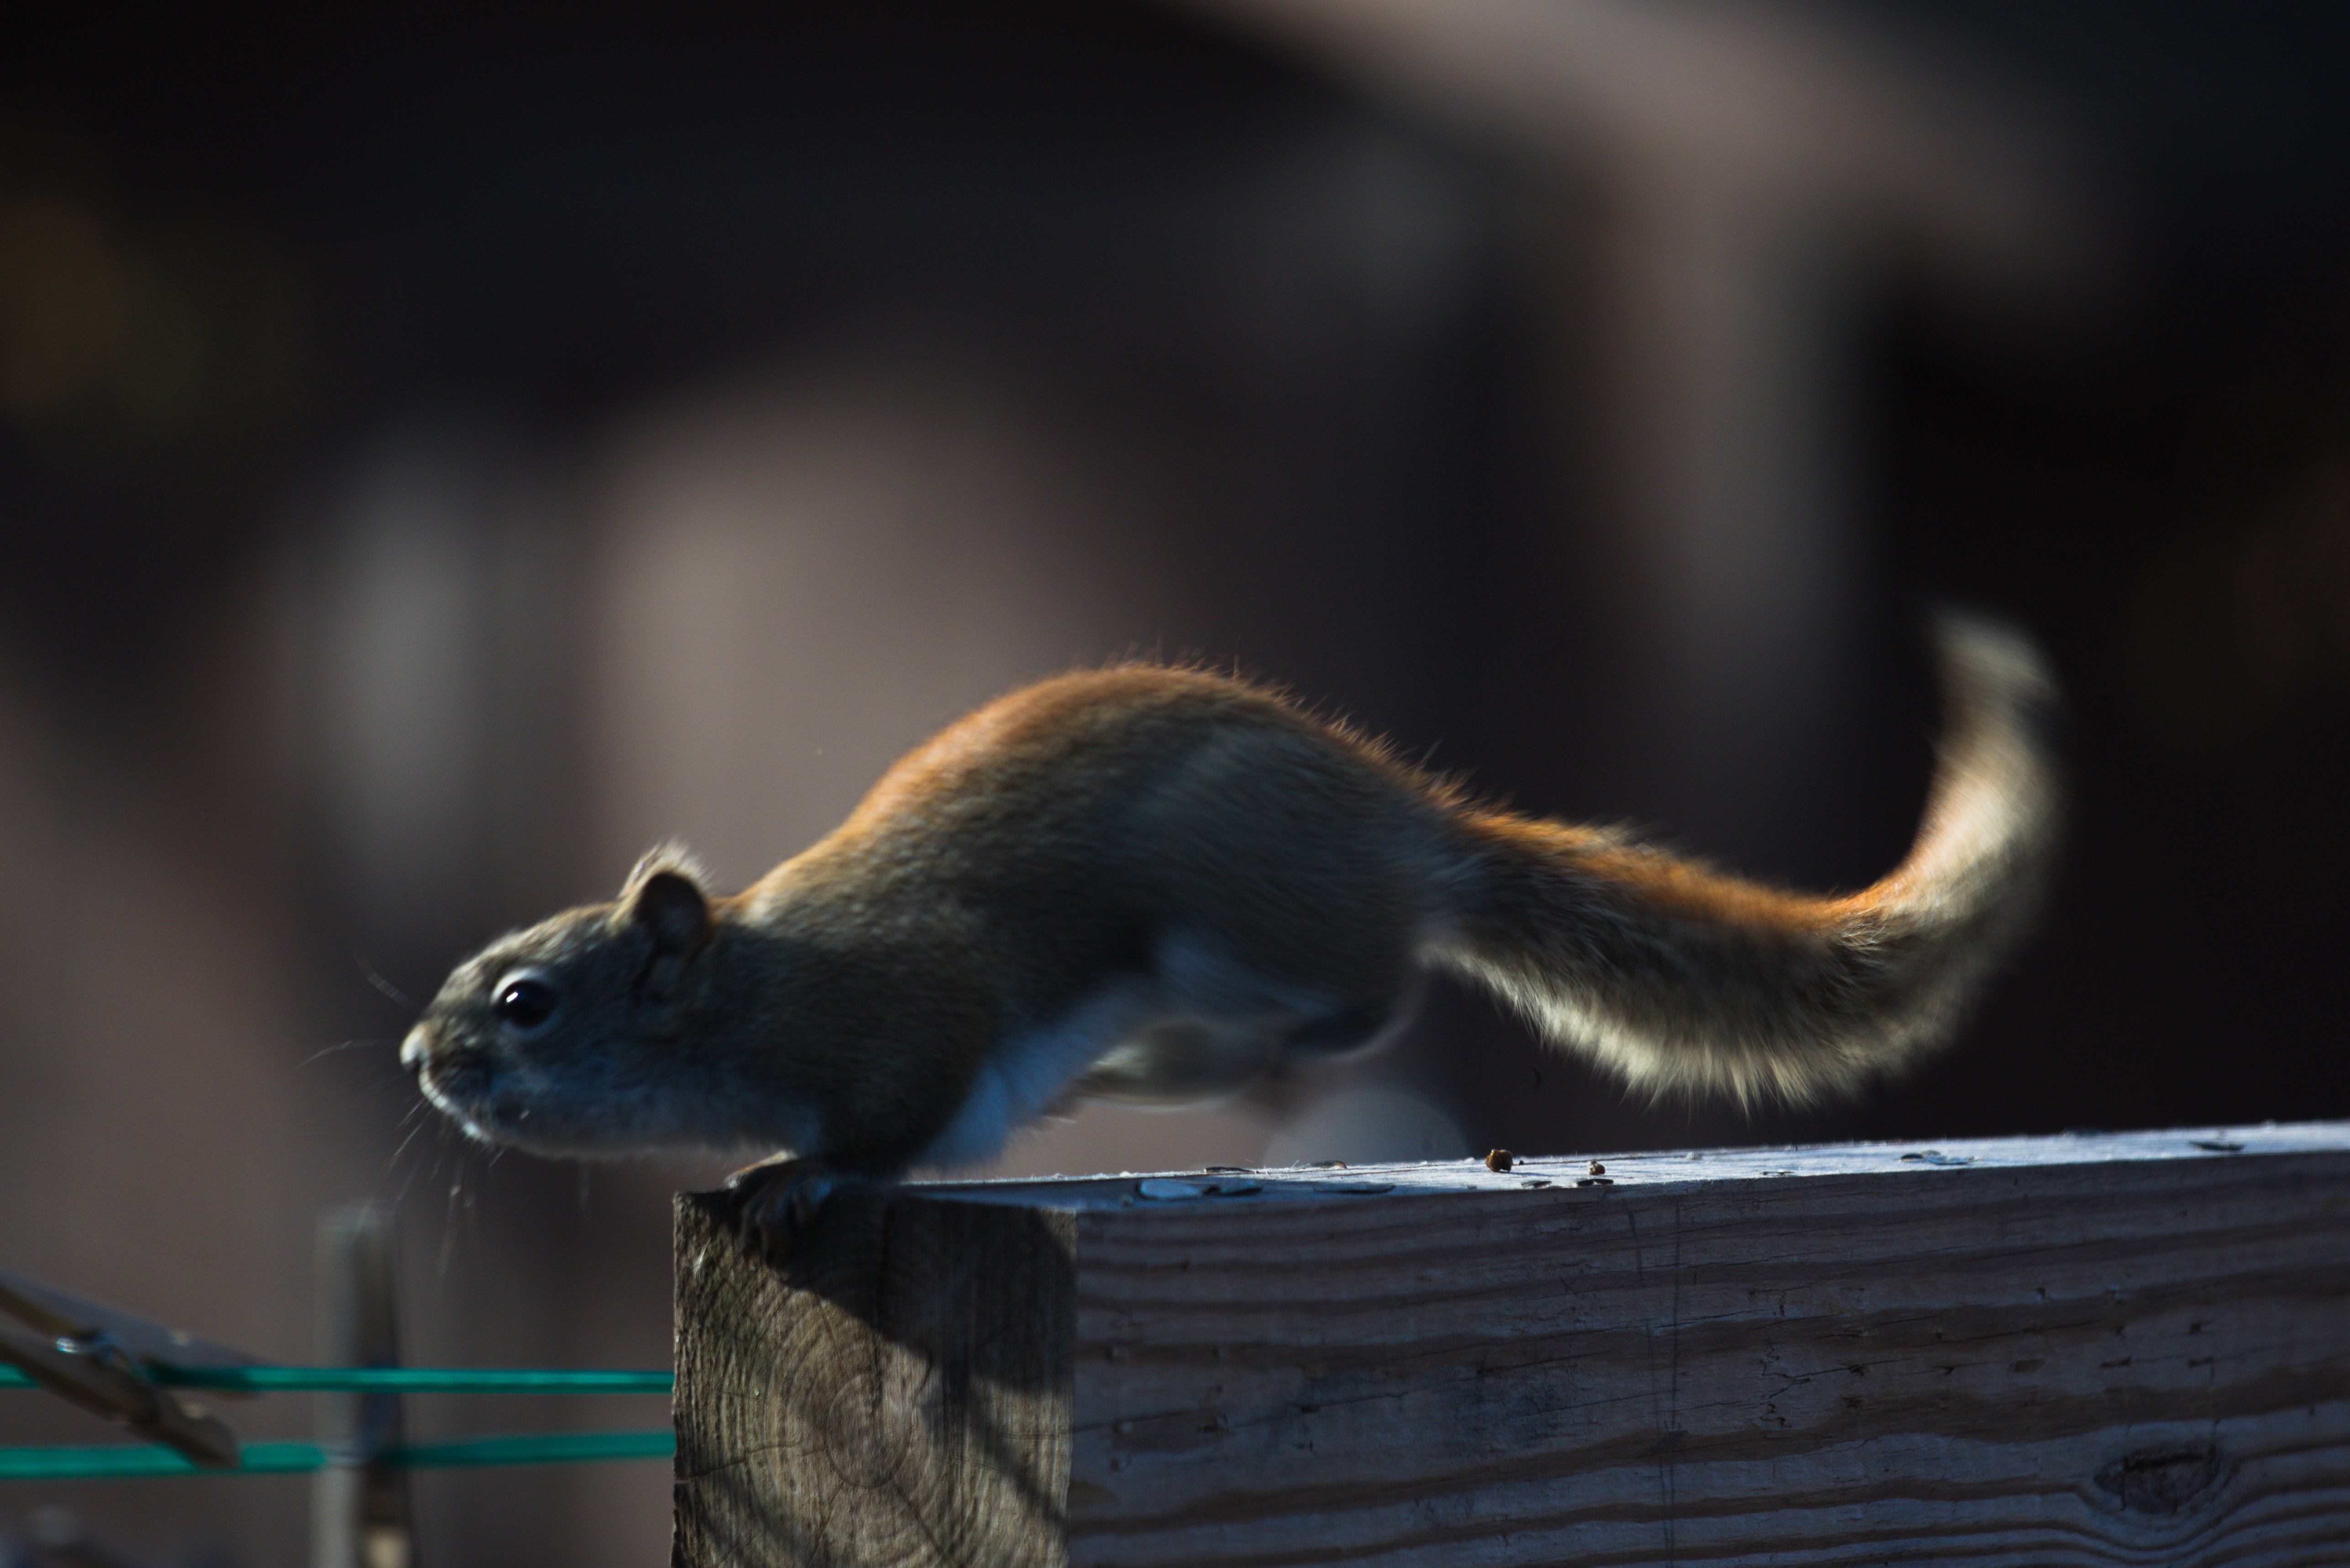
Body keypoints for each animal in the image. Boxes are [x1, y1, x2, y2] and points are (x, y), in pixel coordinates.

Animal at [404, 611, 2058, 1250]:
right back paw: (1104, 1082)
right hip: (1196, 986)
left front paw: (795, 1173)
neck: (751, 987)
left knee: (1367, 989)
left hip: (1233, 903)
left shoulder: (907, 1015)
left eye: (528, 999)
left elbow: (887, 1128)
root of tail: (1404, 823)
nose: (423, 1057)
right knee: (1216, 1060)